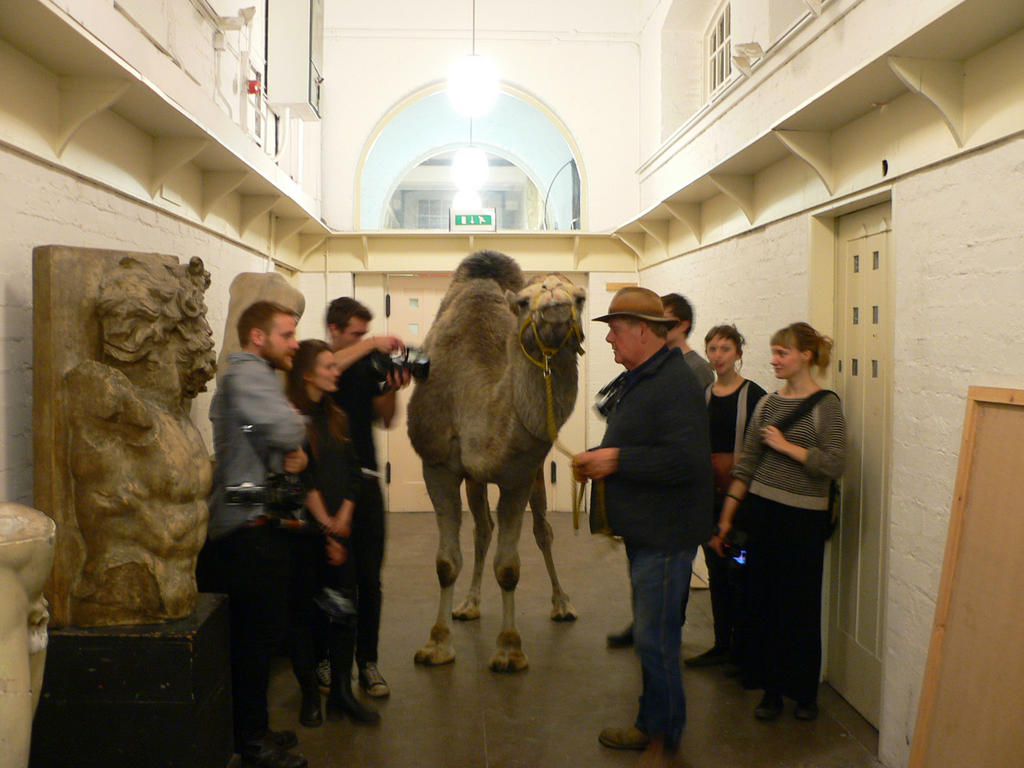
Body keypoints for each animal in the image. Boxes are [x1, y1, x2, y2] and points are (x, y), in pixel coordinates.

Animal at [407, 253, 585, 671]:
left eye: (581, 297)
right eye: (522, 301)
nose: (554, 296)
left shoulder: (519, 474)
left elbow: (509, 567)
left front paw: (509, 649)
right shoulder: (437, 466)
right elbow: (445, 563)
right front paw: (436, 644)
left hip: (537, 472)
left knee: (542, 531)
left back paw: (562, 603)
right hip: (473, 480)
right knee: (482, 529)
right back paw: (468, 604)